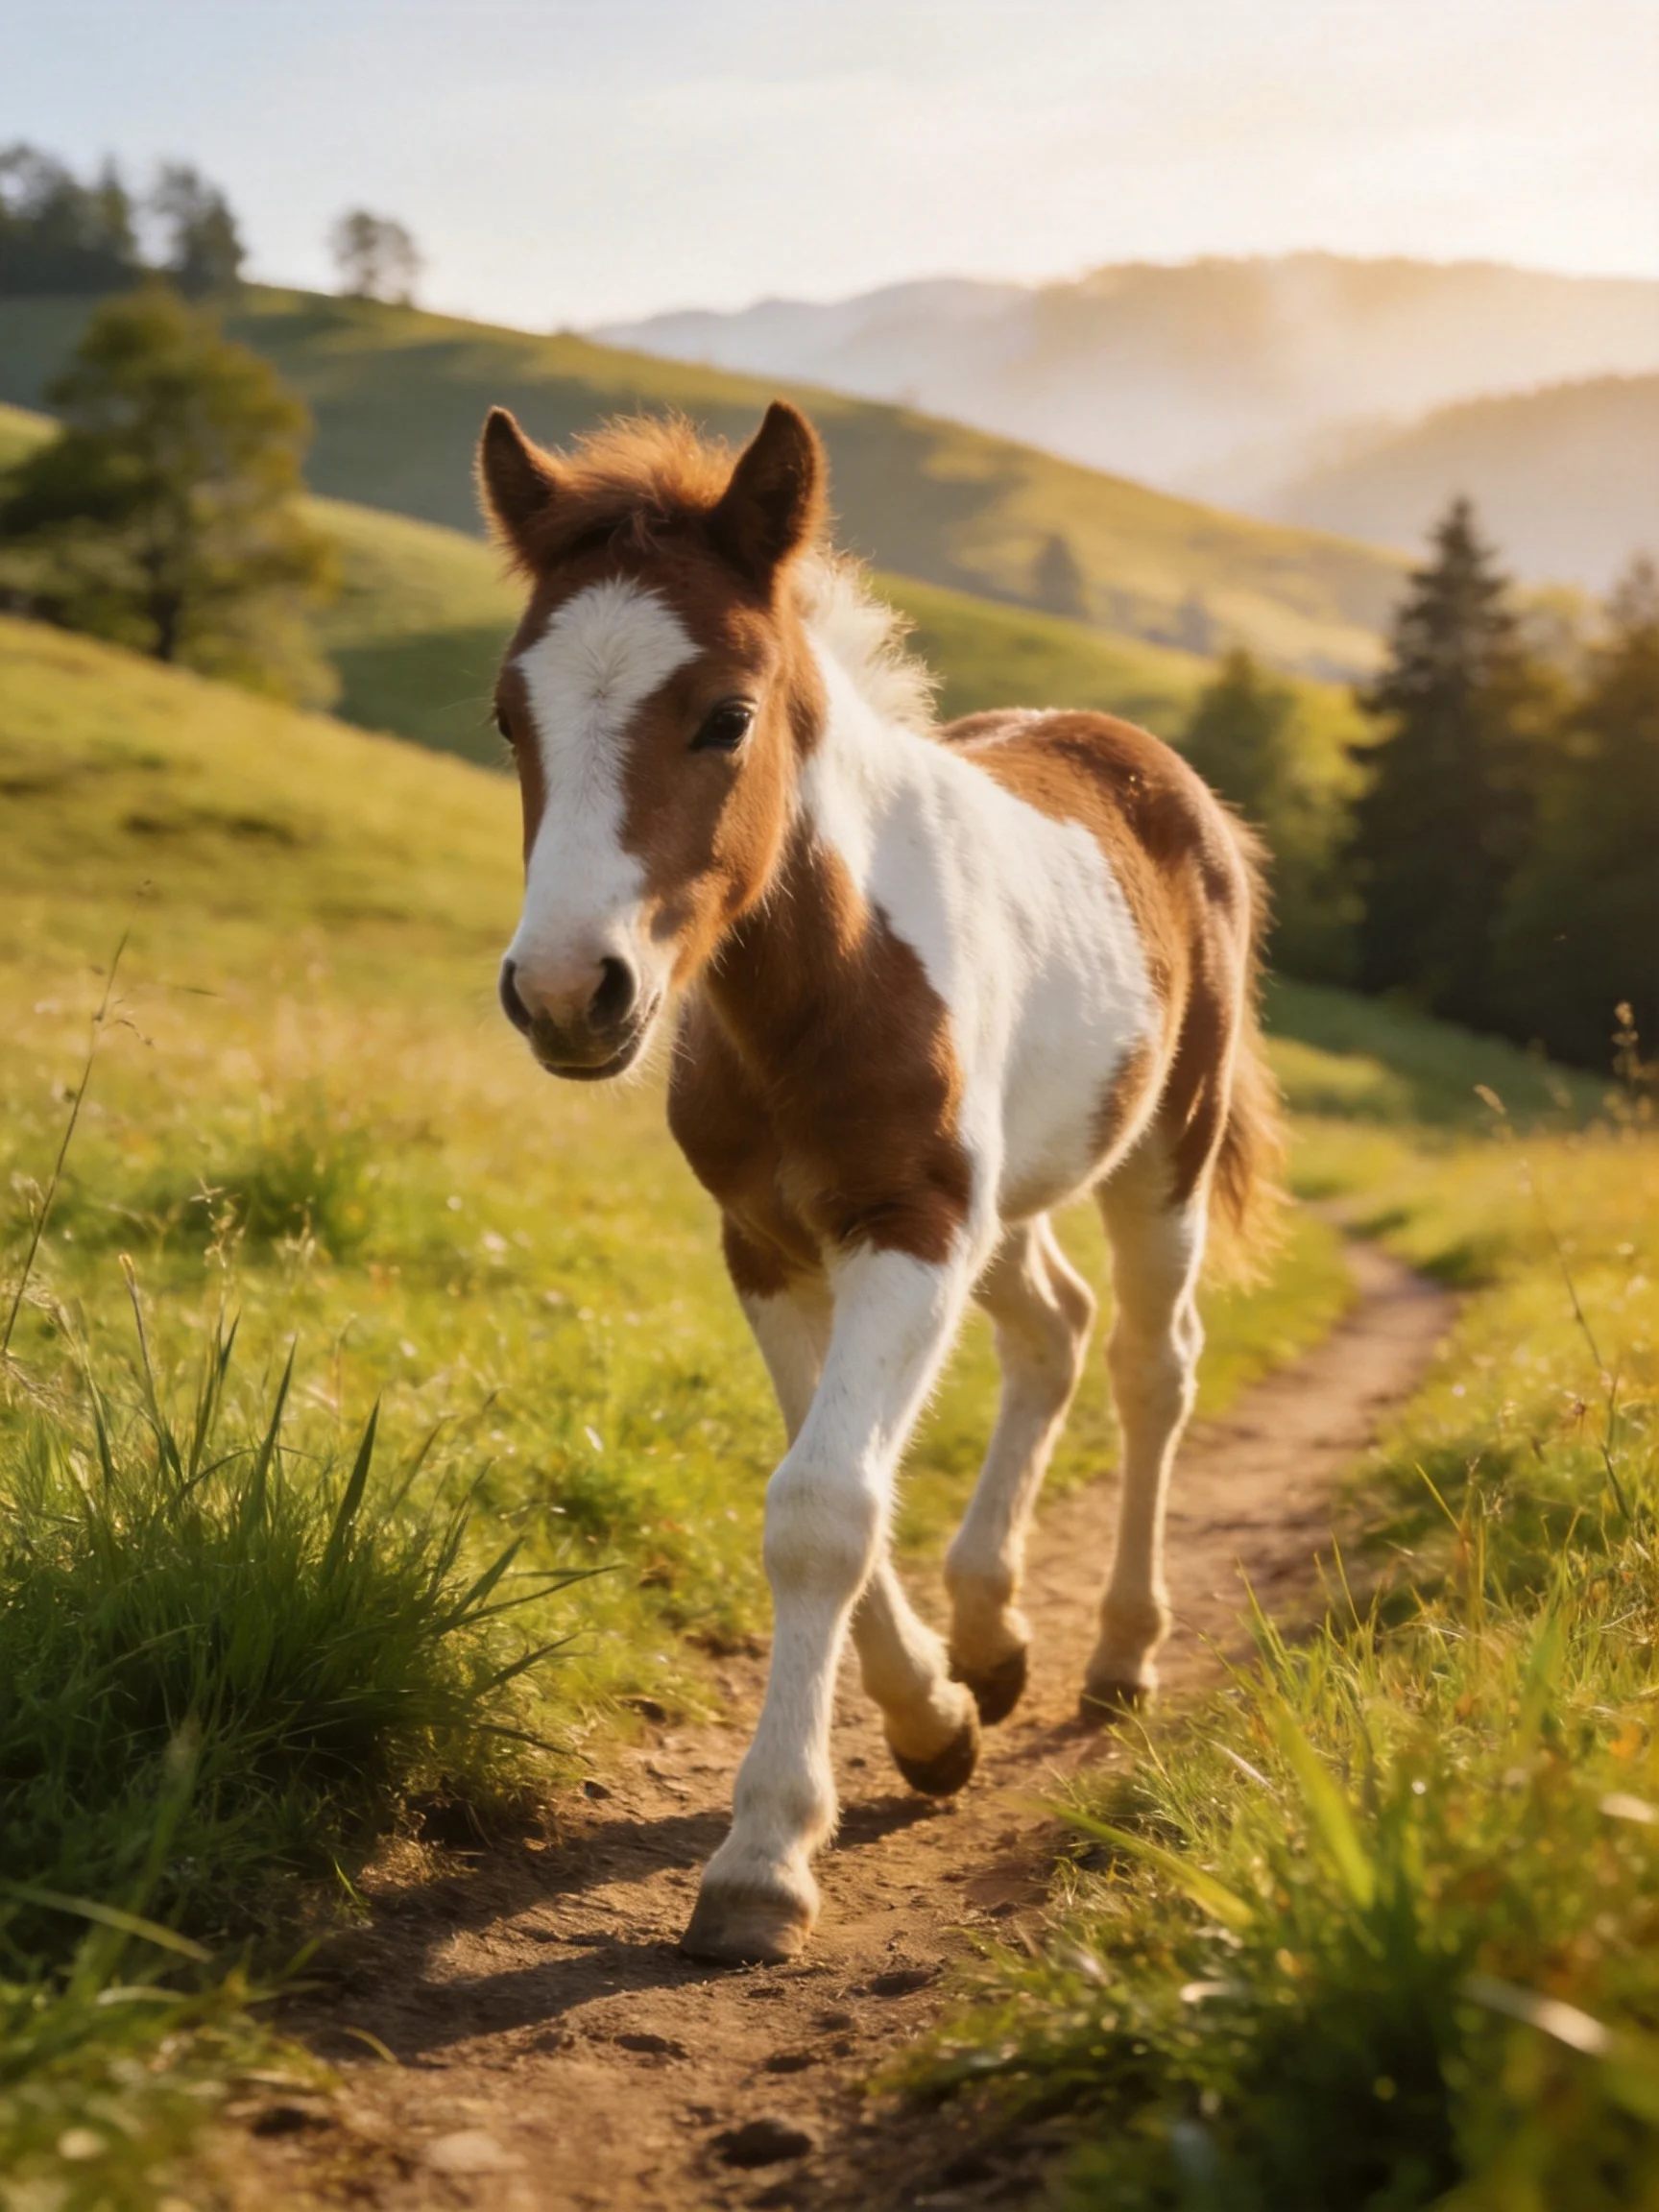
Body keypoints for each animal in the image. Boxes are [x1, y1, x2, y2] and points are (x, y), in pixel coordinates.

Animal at [477, 398, 1280, 1965]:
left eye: (724, 715)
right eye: (507, 715)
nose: (565, 993)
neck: (819, 979)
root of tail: (1152, 765)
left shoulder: (909, 1225)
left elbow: (823, 1509)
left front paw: (763, 1860)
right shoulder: (773, 1240)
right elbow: (823, 1476)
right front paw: (932, 1719)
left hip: (1160, 1151)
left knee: (1151, 1362)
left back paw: (1119, 1654)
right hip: (1009, 1196)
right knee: (1053, 1327)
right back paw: (995, 1633)